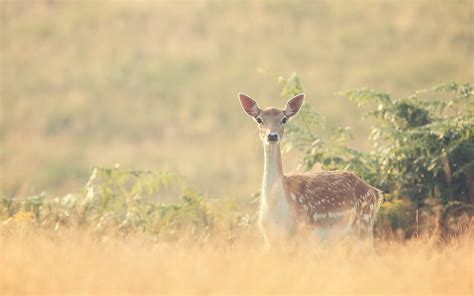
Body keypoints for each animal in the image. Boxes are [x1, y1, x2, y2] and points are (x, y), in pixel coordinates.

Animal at [239, 93, 384, 246]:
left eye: (284, 119)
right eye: (259, 119)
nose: (272, 135)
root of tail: (376, 192)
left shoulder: (306, 232)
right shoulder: (271, 238)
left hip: (363, 225)